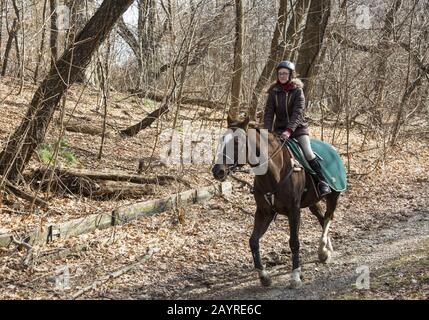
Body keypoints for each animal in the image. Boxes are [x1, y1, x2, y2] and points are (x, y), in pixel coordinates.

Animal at [210, 116, 338, 288]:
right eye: (222, 139)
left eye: (237, 142)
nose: (218, 171)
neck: (274, 172)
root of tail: (333, 149)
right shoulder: (264, 212)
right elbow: (253, 241)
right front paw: (264, 276)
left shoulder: (294, 211)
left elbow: (294, 242)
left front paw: (295, 276)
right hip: (312, 202)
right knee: (322, 218)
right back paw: (325, 250)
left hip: (333, 196)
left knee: (328, 217)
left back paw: (323, 249)